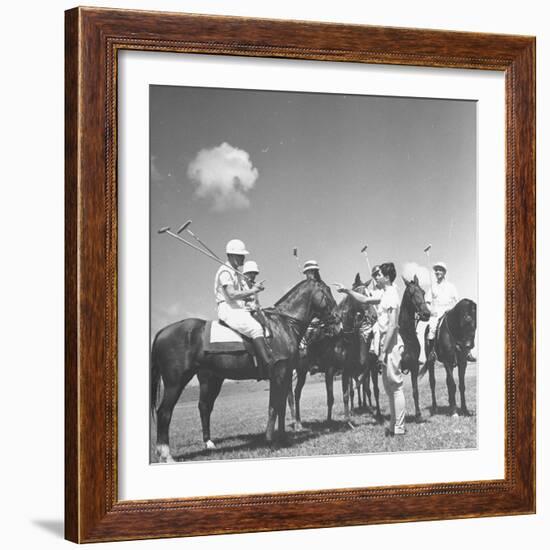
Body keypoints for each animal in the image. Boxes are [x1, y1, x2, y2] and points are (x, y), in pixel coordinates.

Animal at [152, 278, 340, 464]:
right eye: (327, 292)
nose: (338, 321)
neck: (282, 326)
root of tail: (162, 331)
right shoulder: (279, 374)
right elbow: (274, 406)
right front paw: (270, 440)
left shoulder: (285, 375)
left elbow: (280, 406)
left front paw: (282, 438)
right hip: (176, 382)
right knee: (164, 412)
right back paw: (166, 454)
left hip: (212, 380)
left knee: (204, 406)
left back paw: (208, 444)